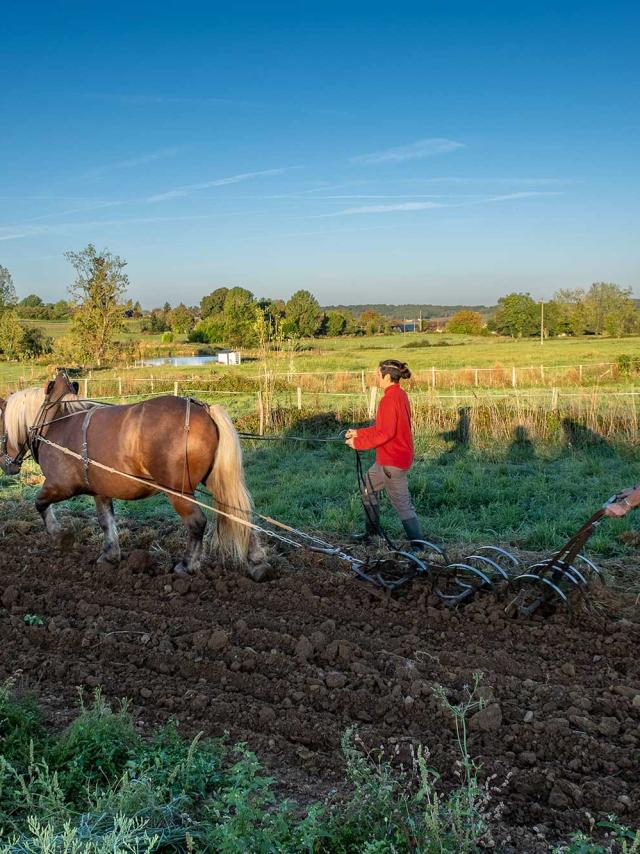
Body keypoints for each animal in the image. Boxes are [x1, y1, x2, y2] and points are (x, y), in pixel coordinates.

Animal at [0, 372, 268, 580]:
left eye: (1, 424)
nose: (7, 466)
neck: (52, 422)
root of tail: (205, 409)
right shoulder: (100, 490)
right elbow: (105, 520)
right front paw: (110, 555)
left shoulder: (60, 485)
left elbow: (40, 503)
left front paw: (60, 536)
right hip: (216, 482)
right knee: (239, 514)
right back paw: (257, 563)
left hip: (179, 491)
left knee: (196, 522)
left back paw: (187, 565)